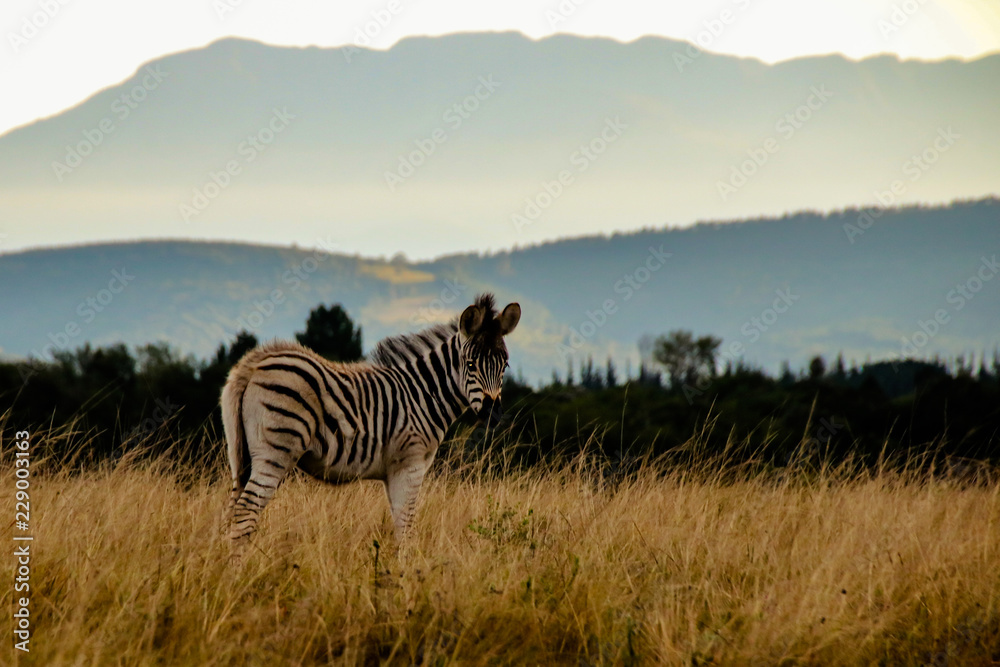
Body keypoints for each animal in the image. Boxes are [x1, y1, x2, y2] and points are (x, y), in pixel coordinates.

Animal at [221, 293, 520, 548]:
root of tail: (255, 362)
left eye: (504, 365)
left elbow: (399, 524)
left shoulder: (393, 471)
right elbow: (406, 528)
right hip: (276, 451)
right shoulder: (410, 464)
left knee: (234, 507)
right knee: (246, 510)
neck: (423, 394)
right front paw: (405, 575)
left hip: (243, 453)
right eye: (470, 364)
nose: (493, 414)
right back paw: (238, 572)